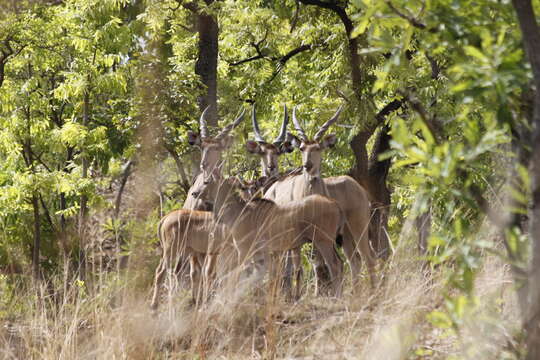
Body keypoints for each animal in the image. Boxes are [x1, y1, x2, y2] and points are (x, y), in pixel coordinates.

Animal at [151, 105, 246, 310]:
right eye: (202, 145)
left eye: (217, 147)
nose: (204, 165)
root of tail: (163, 220)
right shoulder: (209, 246)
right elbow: (204, 273)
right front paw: (203, 301)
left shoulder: (208, 248)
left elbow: (209, 273)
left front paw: (203, 300)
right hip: (173, 251)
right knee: (163, 271)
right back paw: (155, 306)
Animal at [191, 176, 342, 296]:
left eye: (206, 181)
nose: (194, 193)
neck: (239, 212)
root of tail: (334, 203)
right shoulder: (261, 254)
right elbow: (265, 275)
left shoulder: (243, 251)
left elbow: (242, 274)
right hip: (327, 243)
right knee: (338, 263)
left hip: (323, 241)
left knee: (334, 264)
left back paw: (336, 295)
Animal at [264, 105, 378, 288]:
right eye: (302, 148)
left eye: (318, 148)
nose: (307, 165)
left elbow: (318, 267)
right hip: (345, 236)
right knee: (354, 261)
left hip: (357, 228)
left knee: (367, 259)